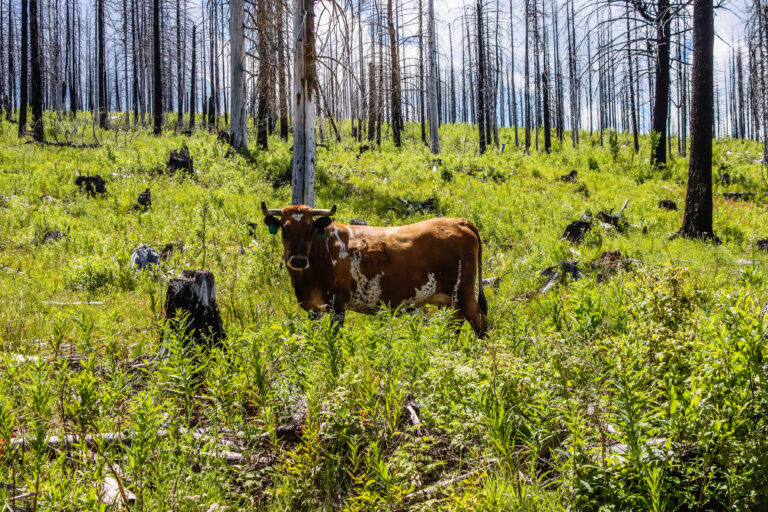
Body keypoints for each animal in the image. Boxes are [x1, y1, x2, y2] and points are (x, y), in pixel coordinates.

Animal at [258, 202, 486, 338]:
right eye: (285, 228)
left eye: (310, 228)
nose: (298, 260)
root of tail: (459, 221)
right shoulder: (314, 309)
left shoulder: (337, 305)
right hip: (449, 300)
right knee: (455, 325)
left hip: (464, 292)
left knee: (480, 322)